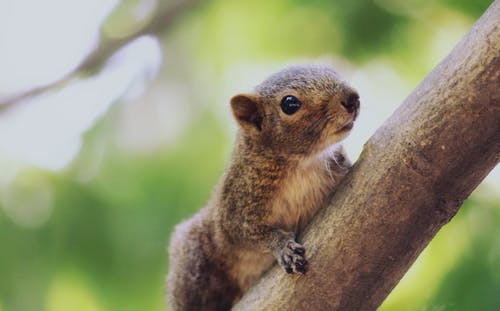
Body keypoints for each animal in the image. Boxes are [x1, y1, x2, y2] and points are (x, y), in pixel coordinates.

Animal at [167, 64, 360, 310]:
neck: (303, 163)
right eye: (290, 103)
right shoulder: (235, 208)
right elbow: (248, 234)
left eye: (333, 72)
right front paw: (282, 246)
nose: (352, 98)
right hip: (192, 260)